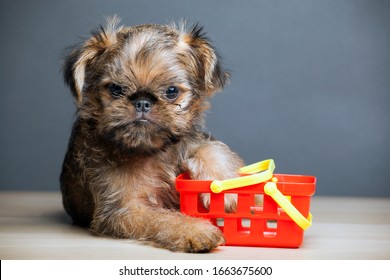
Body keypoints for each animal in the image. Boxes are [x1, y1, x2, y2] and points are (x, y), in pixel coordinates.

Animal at [60, 17, 244, 254]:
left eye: (172, 91)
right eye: (116, 89)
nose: (142, 102)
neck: (151, 151)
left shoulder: (191, 138)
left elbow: (211, 148)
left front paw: (226, 188)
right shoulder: (125, 209)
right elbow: (161, 218)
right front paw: (196, 230)